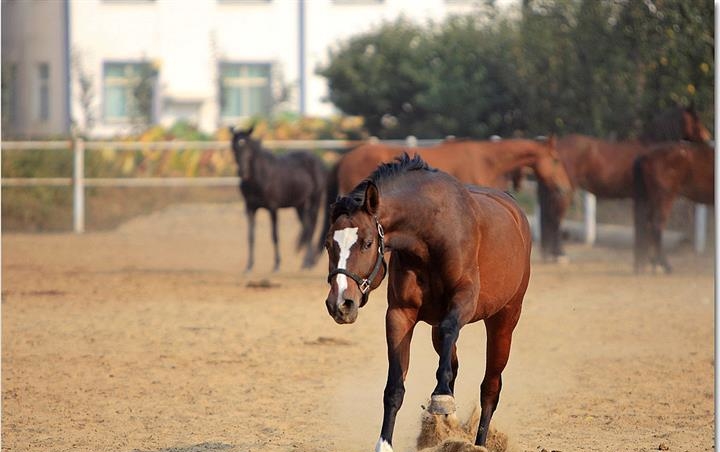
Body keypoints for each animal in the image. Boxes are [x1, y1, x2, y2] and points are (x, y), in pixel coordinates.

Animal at [231, 124, 326, 272]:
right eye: (234, 148)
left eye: (248, 148)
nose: (242, 173)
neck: (261, 177)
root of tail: (316, 160)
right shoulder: (250, 208)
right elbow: (251, 237)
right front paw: (249, 266)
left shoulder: (273, 208)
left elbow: (274, 235)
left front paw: (276, 265)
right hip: (299, 205)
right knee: (306, 228)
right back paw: (305, 263)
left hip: (315, 200)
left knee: (310, 229)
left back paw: (308, 263)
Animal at [324, 154, 532, 450]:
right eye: (329, 243)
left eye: (367, 243)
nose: (341, 304)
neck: (429, 233)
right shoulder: (400, 315)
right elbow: (395, 387)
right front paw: (385, 443)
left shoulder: (464, 301)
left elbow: (450, 332)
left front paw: (441, 399)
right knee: (452, 361)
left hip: (503, 320)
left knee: (490, 387)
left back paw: (478, 441)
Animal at [632, 141, 716, 272]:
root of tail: (646, 156)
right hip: (665, 197)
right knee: (656, 227)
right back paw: (663, 265)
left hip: (651, 199)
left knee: (647, 226)